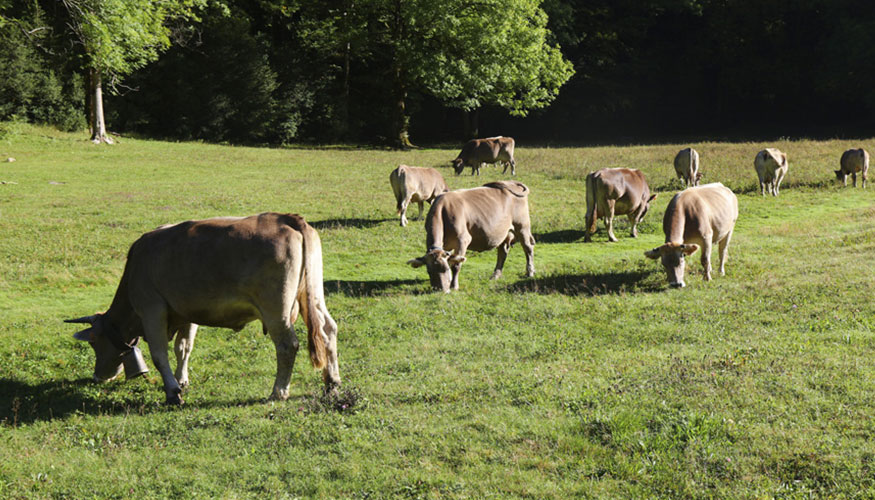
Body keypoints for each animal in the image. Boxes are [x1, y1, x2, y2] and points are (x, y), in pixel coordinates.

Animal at [64, 213, 338, 404]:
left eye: (94, 342)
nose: (98, 376)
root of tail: (287, 218)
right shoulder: (186, 312)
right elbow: (184, 347)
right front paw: (181, 379)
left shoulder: (152, 309)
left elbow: (160, 354)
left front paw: (173, 391)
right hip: (312, 296)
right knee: (328, 330)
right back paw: (332, 383)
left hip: (276, 310)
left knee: (287, 345)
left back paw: (278, 392)